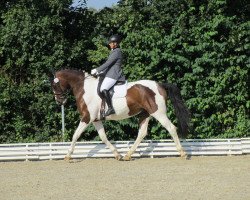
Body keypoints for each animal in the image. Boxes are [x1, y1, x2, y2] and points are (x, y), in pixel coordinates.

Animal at [51, 69, 191, 161]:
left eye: (54, 85)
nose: (59, 101)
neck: (85, 89)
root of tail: (159, 84)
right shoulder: (96, 119)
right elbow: (103, 137)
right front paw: (116, 154)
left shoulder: (87, 118)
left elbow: (76, 135)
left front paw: (68, 155)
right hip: (145, 114)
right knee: (142, 133)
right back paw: (128, 155)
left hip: (158, 113)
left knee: (171, 128)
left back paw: (182, 153)